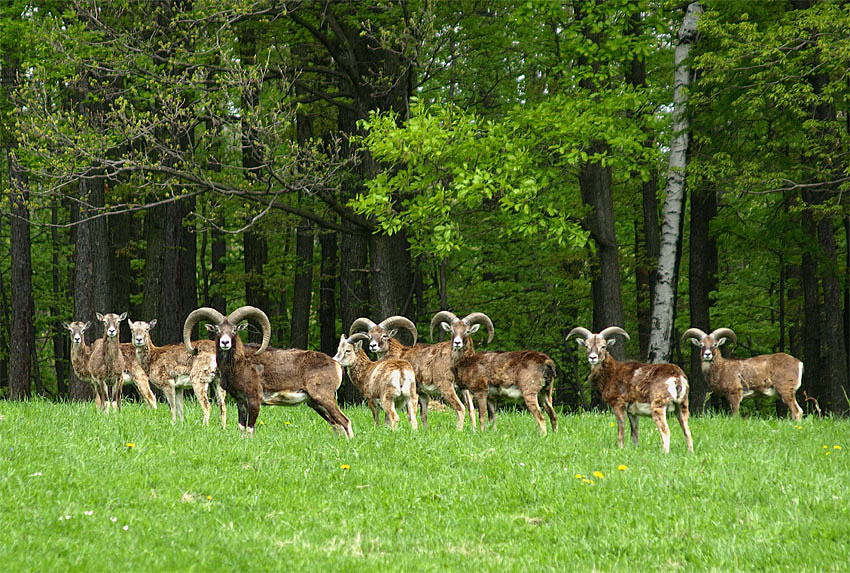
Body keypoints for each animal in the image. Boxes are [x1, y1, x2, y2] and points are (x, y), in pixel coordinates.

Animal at [184, 306, 352, 436]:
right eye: (217, 330)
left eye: (234, 330)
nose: (225, 342)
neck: (240, 365)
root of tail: (336, 365)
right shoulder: (241, 402)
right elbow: (242, 428)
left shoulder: (254, 400)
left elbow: (250, 429)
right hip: (316, 404)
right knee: (337, 426)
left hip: (323, 398)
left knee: (345, 422)